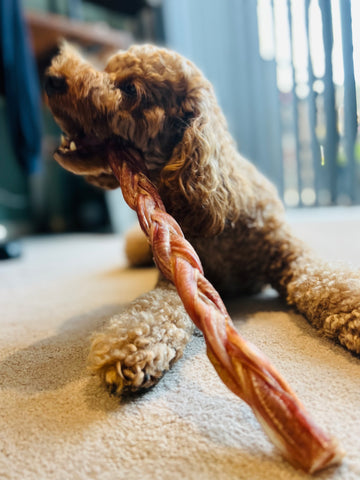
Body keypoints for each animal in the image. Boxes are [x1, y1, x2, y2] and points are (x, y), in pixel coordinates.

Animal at [45, 42, 360, 394]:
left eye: (129, 89)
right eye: (107, 68)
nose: (52, 78)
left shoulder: (292, 257)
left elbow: (327, 282)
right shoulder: (179, 276)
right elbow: (153, 308)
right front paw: (130, 347)